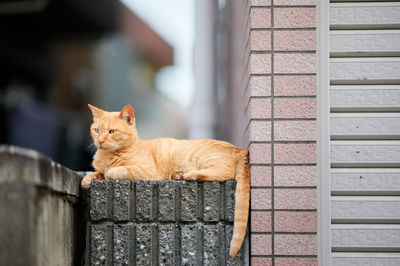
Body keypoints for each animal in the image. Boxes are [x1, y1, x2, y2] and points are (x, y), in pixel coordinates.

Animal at [82, 104, 248, 258]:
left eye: (112, 131)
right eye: (96, 130)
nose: (100, 141)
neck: (108, 156)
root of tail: (240, 149)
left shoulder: (148, 171)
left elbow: (116, 170)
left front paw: (109, 172)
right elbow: (97, 173)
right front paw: (87, 179)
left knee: (225, 172)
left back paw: (188, 175)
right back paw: (179, 175)